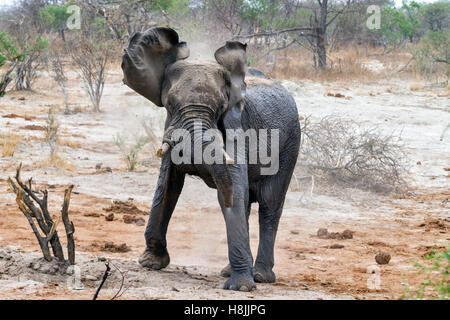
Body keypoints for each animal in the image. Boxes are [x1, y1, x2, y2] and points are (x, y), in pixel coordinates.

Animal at [121, 26, 300, 292]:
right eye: (170, 104)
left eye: (221, 107)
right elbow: (168, 186)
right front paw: (151, 263)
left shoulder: (237, 127)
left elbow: (234, 191)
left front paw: (241, 287)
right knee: (247, 203)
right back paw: (229, 270)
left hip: (291, 144)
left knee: (269, 203)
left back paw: (259, 276)